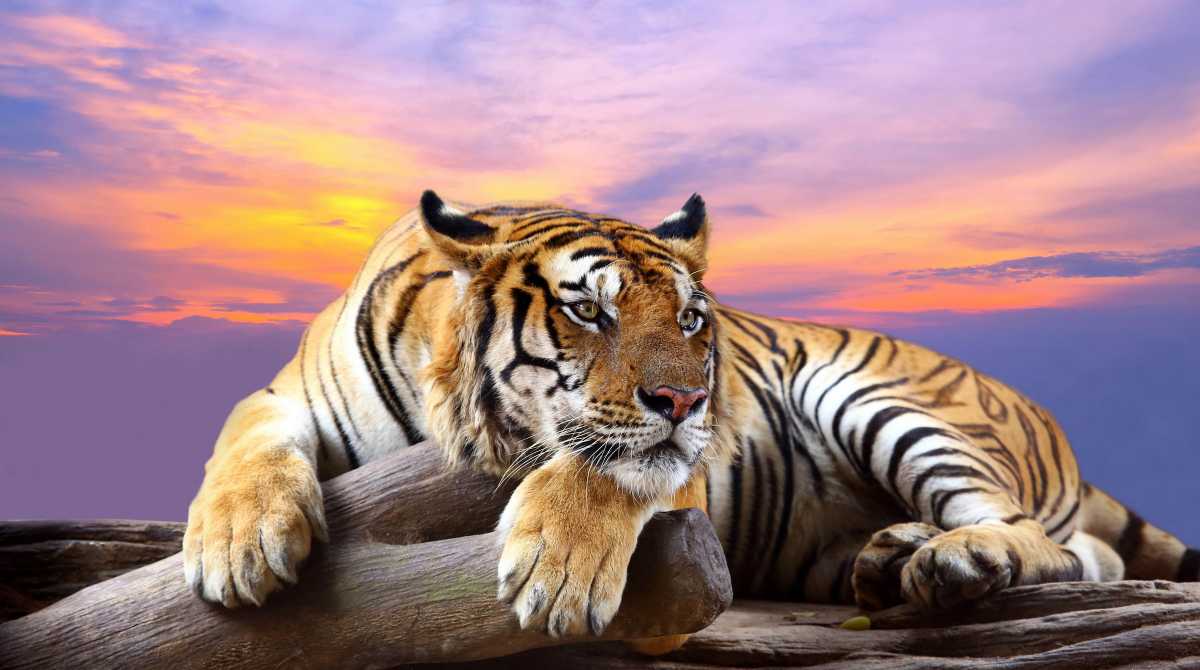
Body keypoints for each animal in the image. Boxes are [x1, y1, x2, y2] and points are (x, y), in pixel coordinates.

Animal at [183, 190, 1199, 652]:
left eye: (689, 321)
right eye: (587, 311)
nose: (688, 401)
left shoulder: (678, 474)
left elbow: (607, 465)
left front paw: (557, 576)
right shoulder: (285, 395)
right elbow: (241, 439)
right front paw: (237, 547)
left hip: (879, 398)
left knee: (1049, 543)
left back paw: (953, 561)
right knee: (1084, 553)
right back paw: (891, 557)